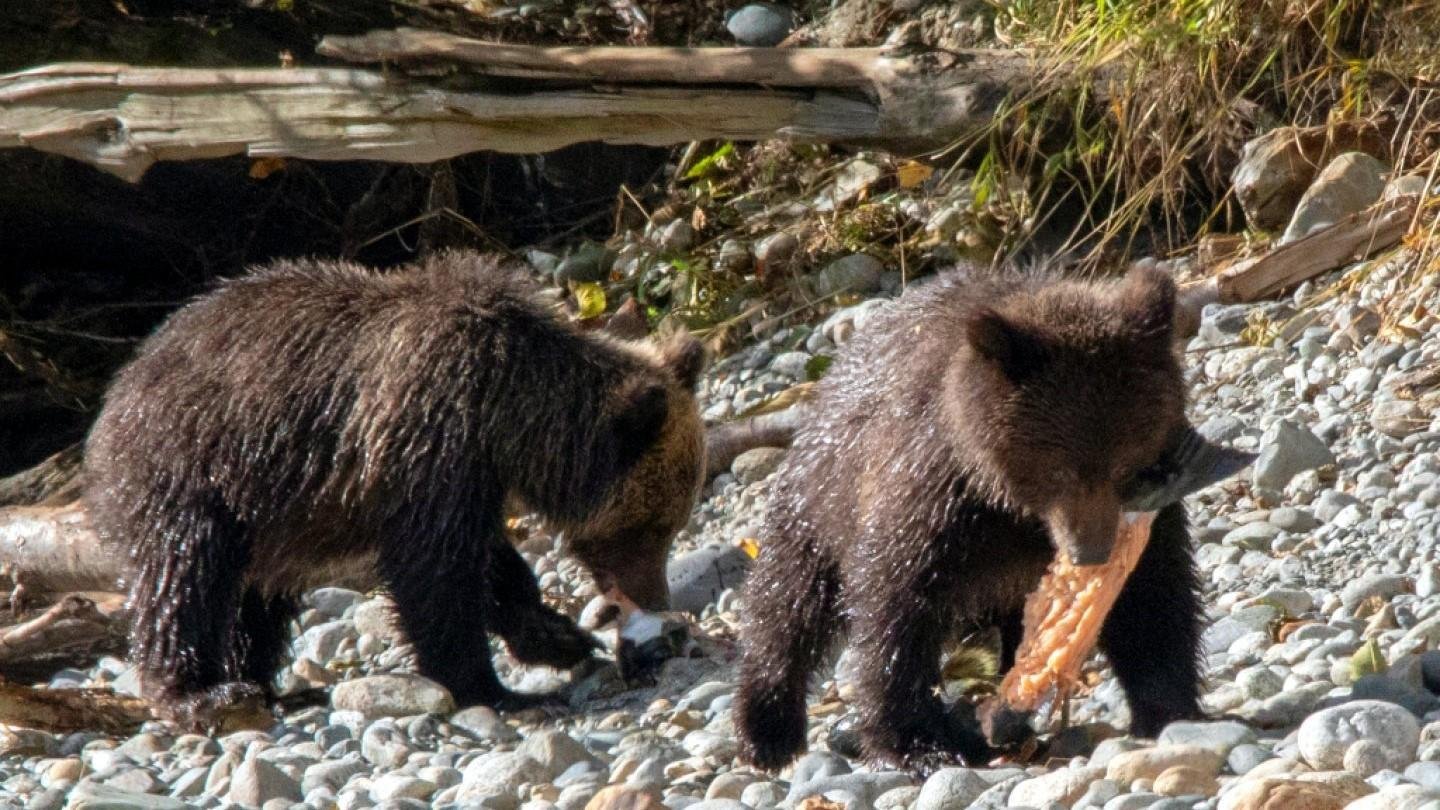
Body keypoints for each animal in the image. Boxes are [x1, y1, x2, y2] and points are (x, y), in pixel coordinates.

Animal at [83, 252, 706, 729]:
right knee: (185, 574)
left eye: (672, 523)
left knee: (259, 598)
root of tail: (114, 392)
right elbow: (434, 573)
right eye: (650, 527)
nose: (657, 600)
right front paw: (497, 689)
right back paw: (203, 693)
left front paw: (557, 636)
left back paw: (272, 686)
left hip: (269, 514)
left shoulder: (460, 470)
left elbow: (487, 562)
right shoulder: (428, 435)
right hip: (195, 469)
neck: (509, 410)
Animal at [733, 263, 1204, 774]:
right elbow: (895, 606)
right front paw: (914, 743)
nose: (1089, 551)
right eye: (1058, 469)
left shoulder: (1152, 507)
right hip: (819, 500)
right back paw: (768, 730)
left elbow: (1152, 594)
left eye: (1126, 465)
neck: (1014, 509)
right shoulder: (933, 498)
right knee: (788, 604)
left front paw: (1167, 708)